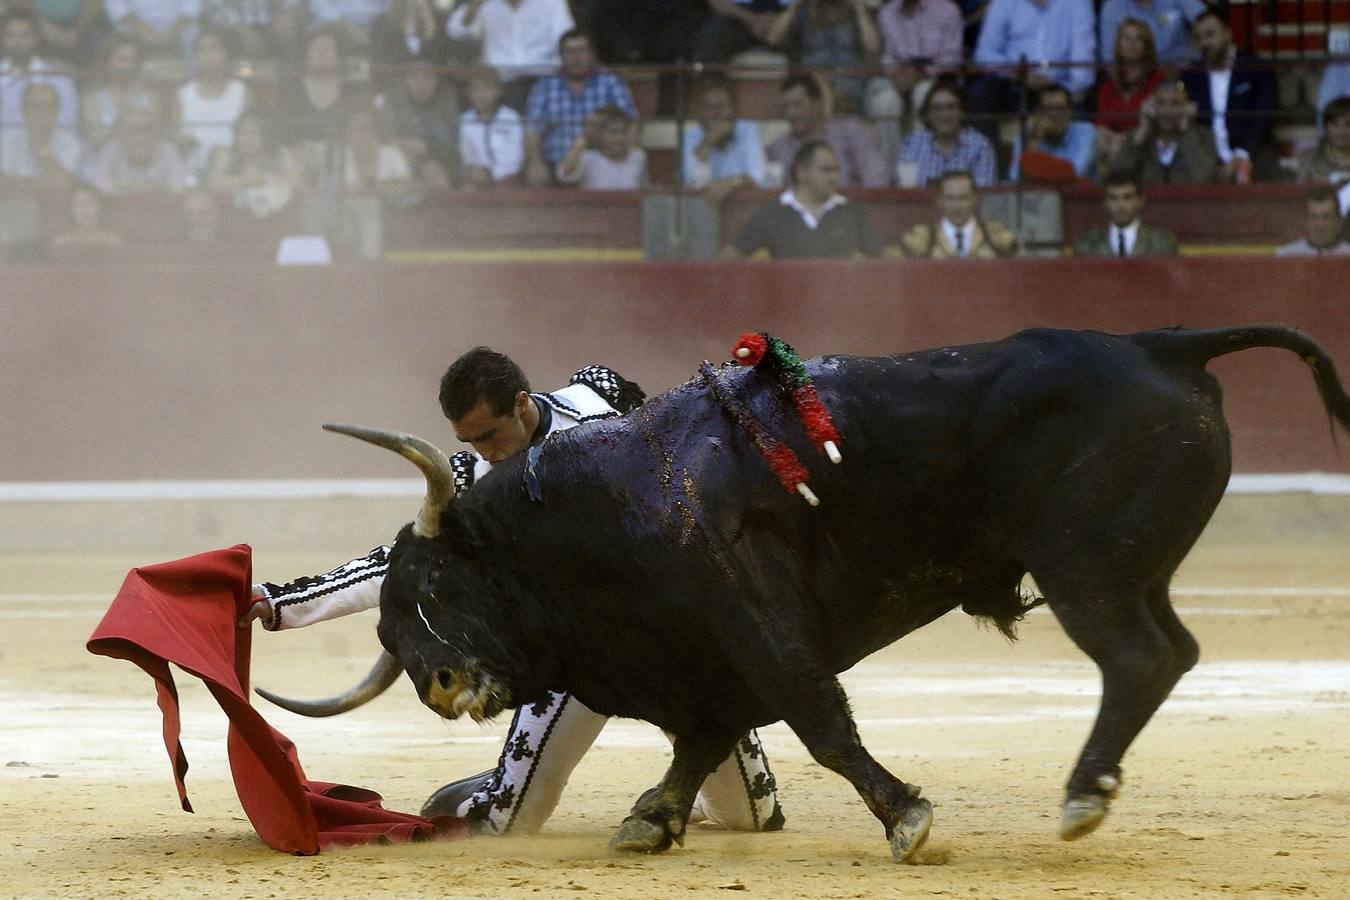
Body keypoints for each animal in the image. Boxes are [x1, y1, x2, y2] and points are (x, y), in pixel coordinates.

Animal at [284, 327, 1350, 863]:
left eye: (438, 579)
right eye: (390, 627)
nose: (441, 686)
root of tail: (1164, 344)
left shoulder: (759, 631)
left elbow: (822, 724)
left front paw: (907, 818)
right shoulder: (704, 664)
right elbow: (701, 739)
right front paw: (653, 819)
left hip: (1084, 566)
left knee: (1139, 657)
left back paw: (1083, 797)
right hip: (1124, 568)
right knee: (1171, 651)